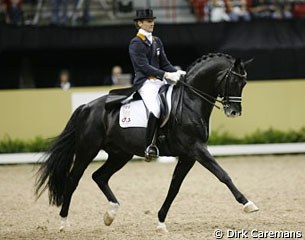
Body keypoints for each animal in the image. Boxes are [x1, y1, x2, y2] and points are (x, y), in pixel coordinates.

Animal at [35, 53, 256, 232]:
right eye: (234, 81)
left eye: (244, 84)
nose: (234, 112)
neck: (190, 101)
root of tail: (86, 107)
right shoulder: (197, 149)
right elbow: (223, 175)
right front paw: (248, 204)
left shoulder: (188, 156)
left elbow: (174, 187)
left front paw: (161, 223)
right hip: (87, 150)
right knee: (73, 180)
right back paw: (64, 223)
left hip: (120, 154)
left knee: (99, 176)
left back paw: (110, 215)